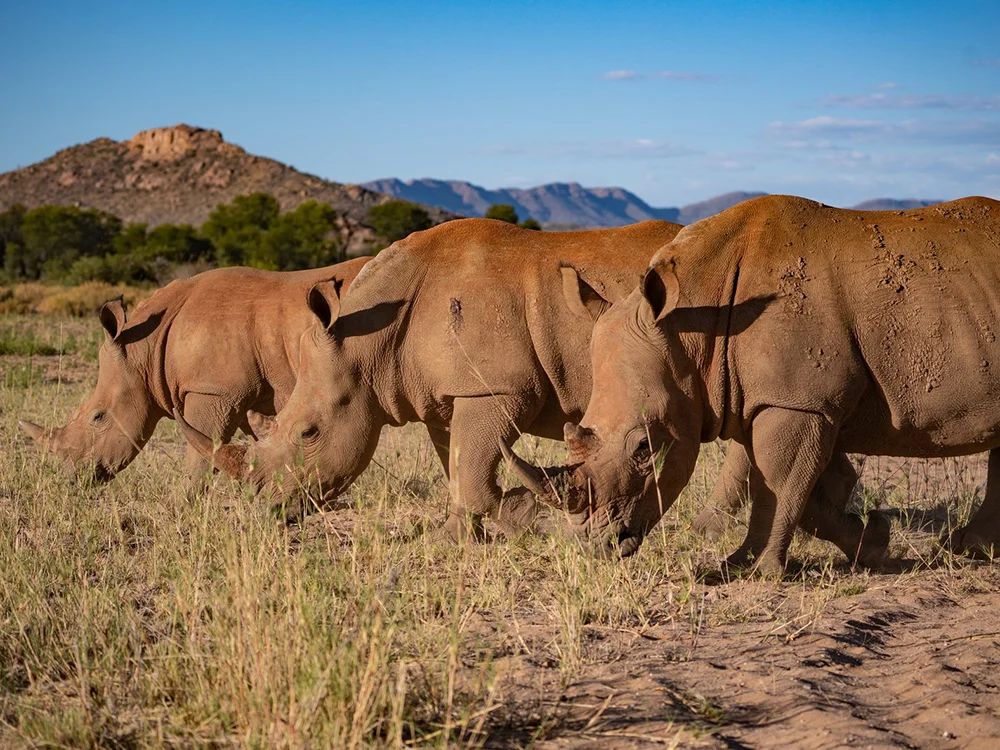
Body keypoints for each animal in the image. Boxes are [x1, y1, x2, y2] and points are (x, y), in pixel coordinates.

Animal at [20, 258, 371, 484]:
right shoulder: (244, 394)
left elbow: (200, 455)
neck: (143, 351)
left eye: (98, 417)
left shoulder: (212, 391)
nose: (71, 480)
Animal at [506, 195, 1000, 575]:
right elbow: (809, 489)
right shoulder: (784, 398)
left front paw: (749, 569)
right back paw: (969, 550)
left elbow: (779, 480)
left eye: (645, 448)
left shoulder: (799, 401)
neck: (694, 327)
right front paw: (872, 542)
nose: (596, 546)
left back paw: (966, 550)